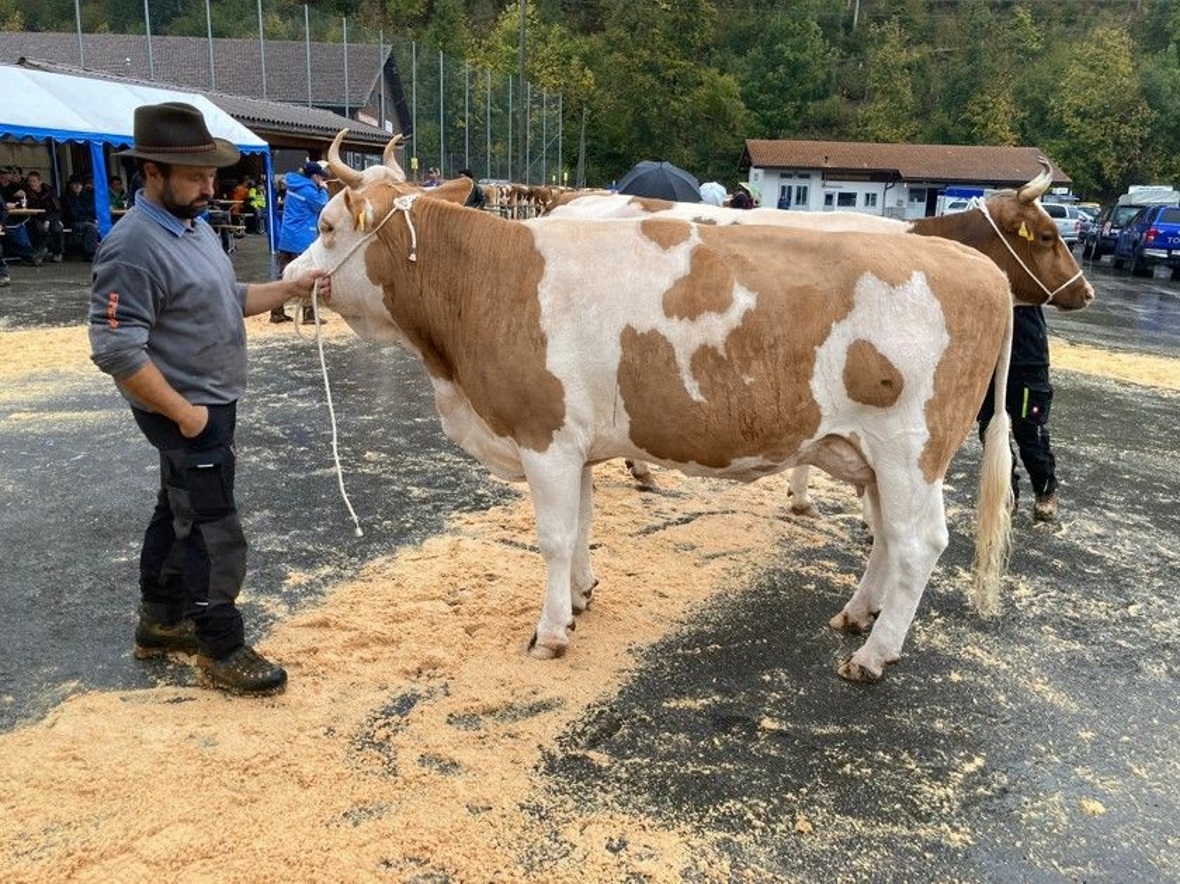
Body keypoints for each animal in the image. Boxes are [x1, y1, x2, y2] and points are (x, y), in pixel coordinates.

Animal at [288, 131, 1052, 681]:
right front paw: (582, 597)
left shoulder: (544, 436)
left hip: (909, 450)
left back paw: (873, 655)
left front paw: (551, 632)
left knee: (919, 543)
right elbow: (584, 524)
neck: (489, 280)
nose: (292, 277)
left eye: (325, 225)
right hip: (871, 455)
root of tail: (975, 266)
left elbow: (553, 536)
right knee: (890, 538)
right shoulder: (577, 443)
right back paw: (857, 616)